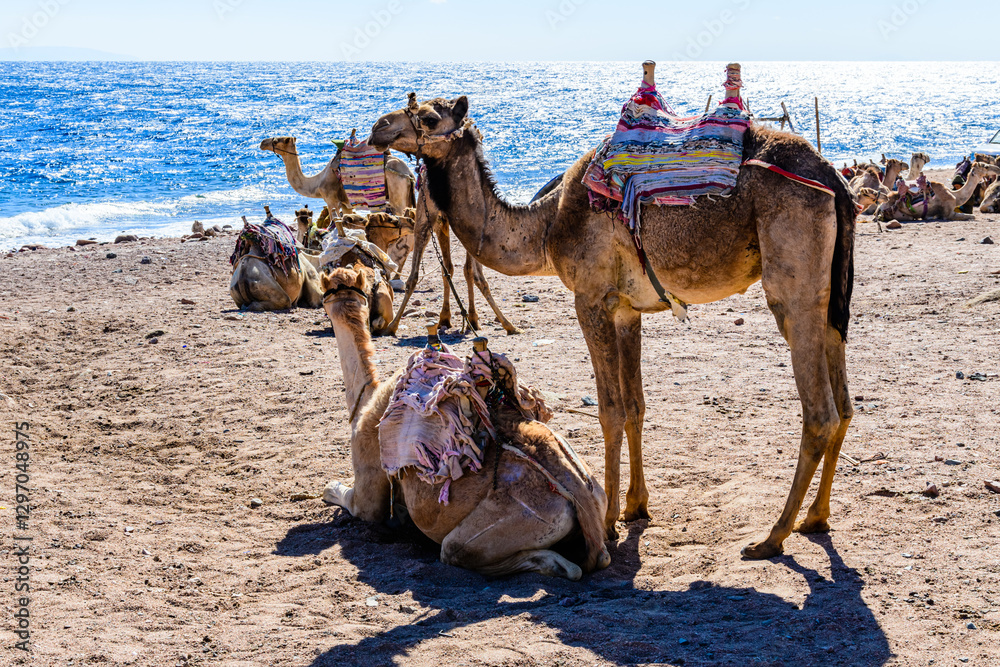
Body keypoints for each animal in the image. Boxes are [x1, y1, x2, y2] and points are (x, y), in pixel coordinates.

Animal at [259, 137, 417, 233]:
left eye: (277, 140)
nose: (262, 142)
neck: (316, 183)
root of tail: (408, 173)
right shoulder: (347, 204)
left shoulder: (331, 200)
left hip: (397, 191)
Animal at [320, 264, 611, 578]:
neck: (366, 398)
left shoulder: (368, 484)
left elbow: (340, 494)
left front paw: (333, 488)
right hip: (596, 490)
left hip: (504, 525)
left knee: (459, 550)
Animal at [369, 94, 857, 559]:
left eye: (429, 117)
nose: (378, 128)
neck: (545, 226)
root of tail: (834, 179)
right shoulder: (626, 310)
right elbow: (636, 406)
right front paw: (636, 506)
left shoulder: (590, 299)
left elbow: (610, 410)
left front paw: (605, 523)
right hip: (830, 299)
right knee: (845, 403)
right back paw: (816, 518)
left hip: (793, 287)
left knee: (819, 412)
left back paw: (772, 537)